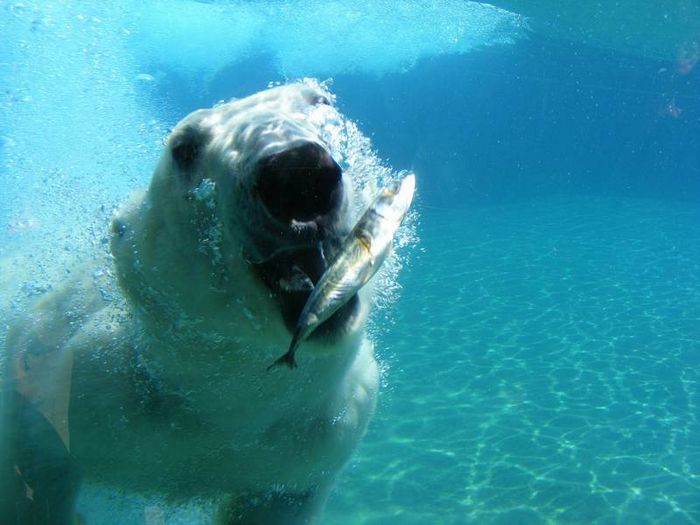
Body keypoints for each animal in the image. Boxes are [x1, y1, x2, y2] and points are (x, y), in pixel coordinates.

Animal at [0, 82, 394, 524]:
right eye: (184, 148)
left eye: (320, 101)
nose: (297, 172)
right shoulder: (80, 376)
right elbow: (35, 461)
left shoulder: (320, 435)